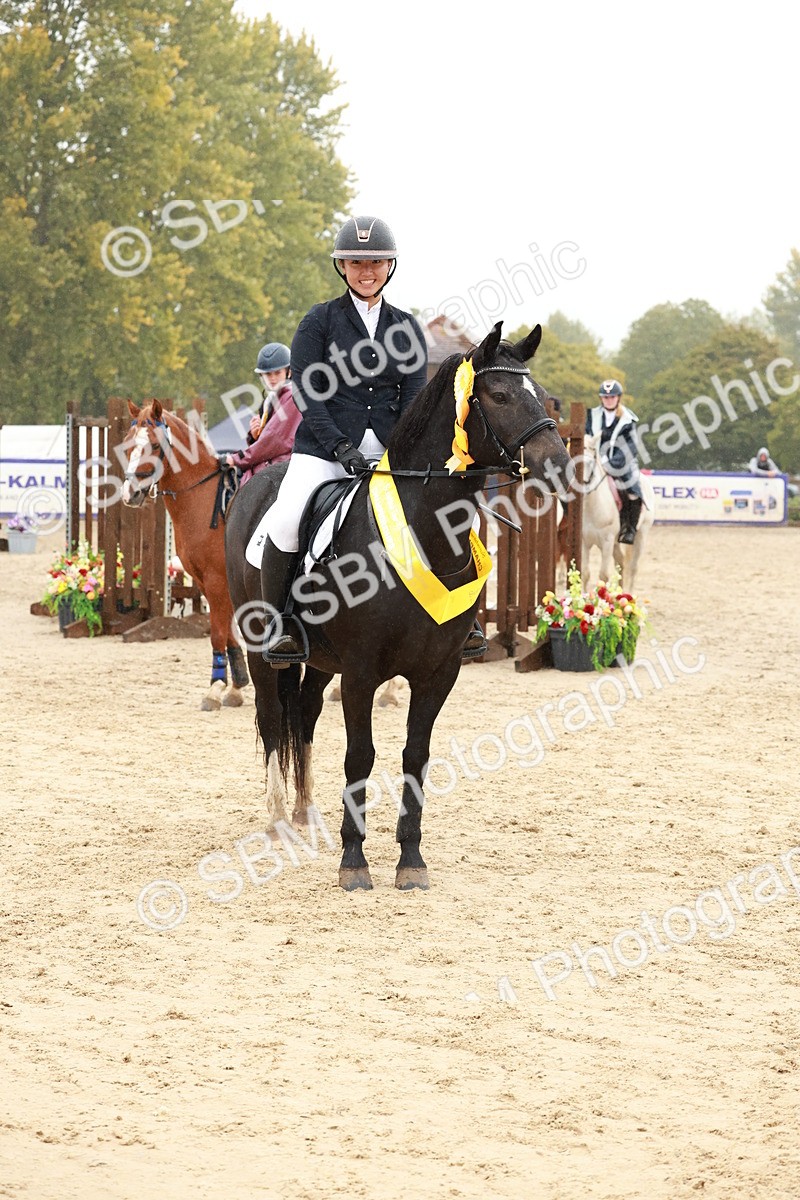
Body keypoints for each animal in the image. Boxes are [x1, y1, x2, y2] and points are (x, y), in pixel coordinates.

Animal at [121, 400, 249, 711]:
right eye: (129, 442)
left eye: (155, 445)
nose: (130, 493)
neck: (204, 499)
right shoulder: (205, 581)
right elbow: (227, 630)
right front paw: (236, 685)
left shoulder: (216, 580)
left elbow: (218, 632)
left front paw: (215, 688)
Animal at [224, 321, 572, 891]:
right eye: (499, 395)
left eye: (542, 395)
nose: (559, 468)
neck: (425, 534)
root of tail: (256, 483)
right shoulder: (363, 672)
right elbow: (360, 755)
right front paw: (354, 861)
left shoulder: (438, 672)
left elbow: (416, 755)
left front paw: (411, 859)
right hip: (260, 646)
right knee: (273, 716)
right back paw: (278, 820)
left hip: (322, 662)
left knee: (306, 713)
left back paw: (305, 811)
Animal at [581, 431, 655, 594]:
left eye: (589, 463)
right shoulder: (585, 543)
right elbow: (585, 573)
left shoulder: (607, 542)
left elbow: (603, 576)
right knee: (621, 563)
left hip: (641, 535)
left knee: (633, 568)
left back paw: (628, 595)